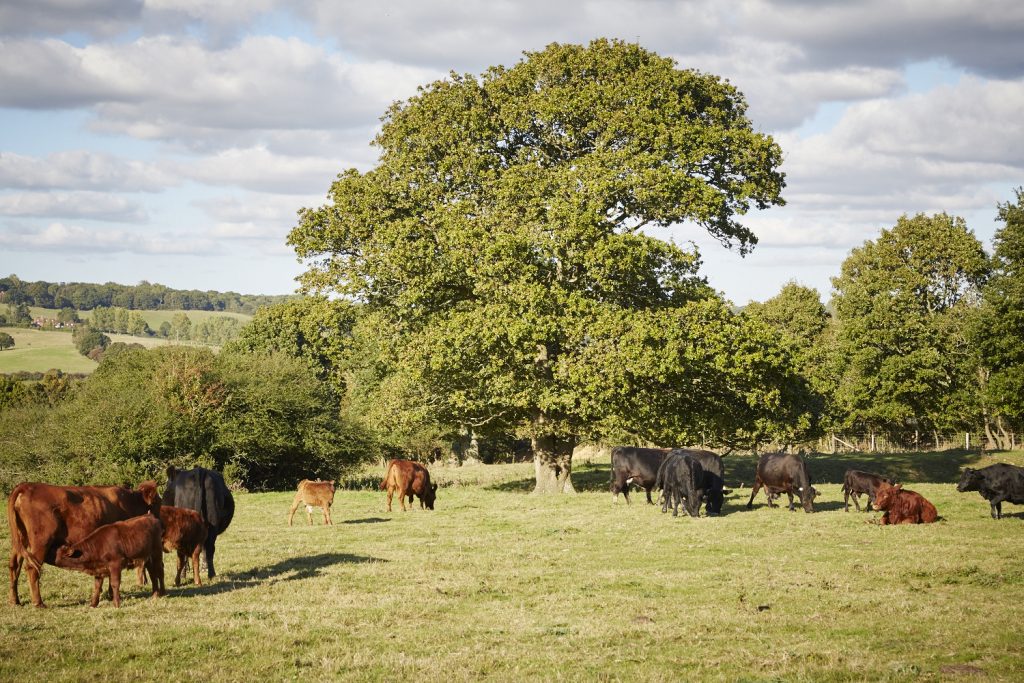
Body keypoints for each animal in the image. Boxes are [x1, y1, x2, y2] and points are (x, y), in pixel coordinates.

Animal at [7, 481, 159, 610]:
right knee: (32, 568)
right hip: (41, 543)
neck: (129, 501)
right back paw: (38, 603)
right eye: (157, 501)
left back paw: (15, 601)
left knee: (14, 566)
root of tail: (27, 486)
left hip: (20, 541)